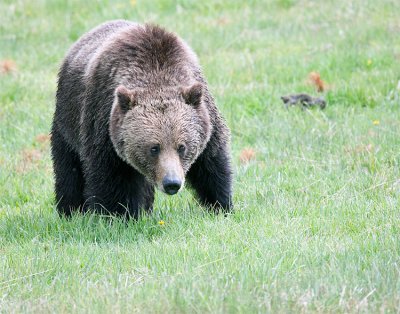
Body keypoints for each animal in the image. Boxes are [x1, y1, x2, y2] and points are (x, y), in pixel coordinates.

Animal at [50, 20, 231, 218]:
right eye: (154, 148)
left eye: (182, 147)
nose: (172, 183)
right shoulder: (105, 127)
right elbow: (111, 178)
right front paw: (118, 214)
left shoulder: (206, 119)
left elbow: (211, 165)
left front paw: (220, 205)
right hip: (68, 119)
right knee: (69, 168)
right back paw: (70, 210)